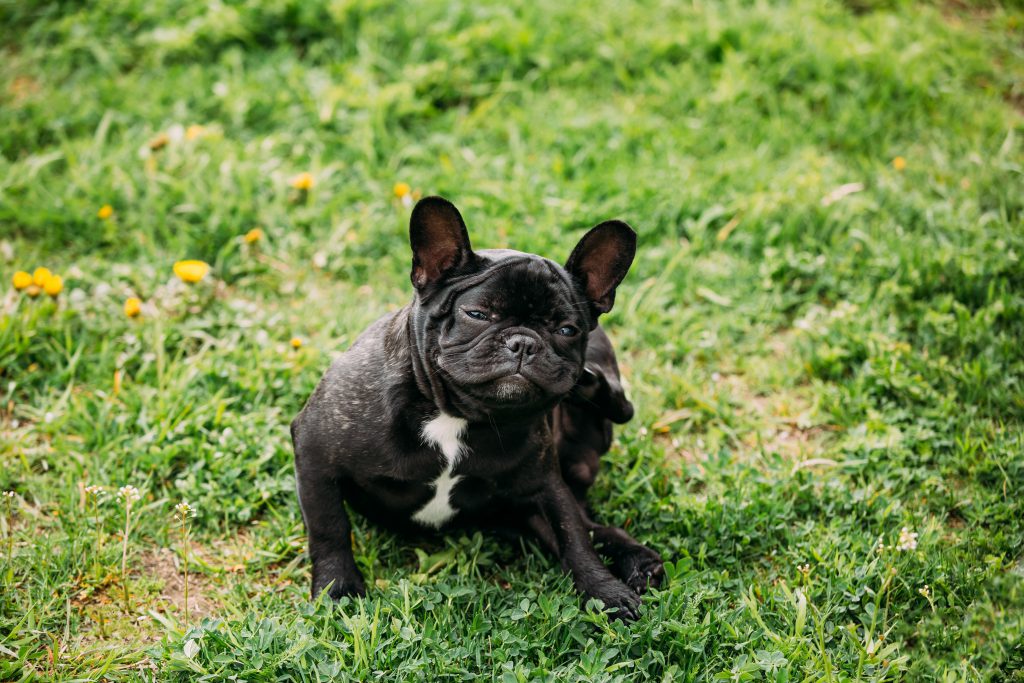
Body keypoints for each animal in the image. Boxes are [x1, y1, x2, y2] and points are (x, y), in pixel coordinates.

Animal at [292, 196, 667, 618]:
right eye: (477, 314)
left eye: (567, 330)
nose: (523, 342)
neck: (458, 414)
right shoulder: (316, 453)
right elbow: (329, 527)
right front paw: (337, 588)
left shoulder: (544, 484)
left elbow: (574, 537)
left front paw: (605, 592)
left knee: (615, 434)